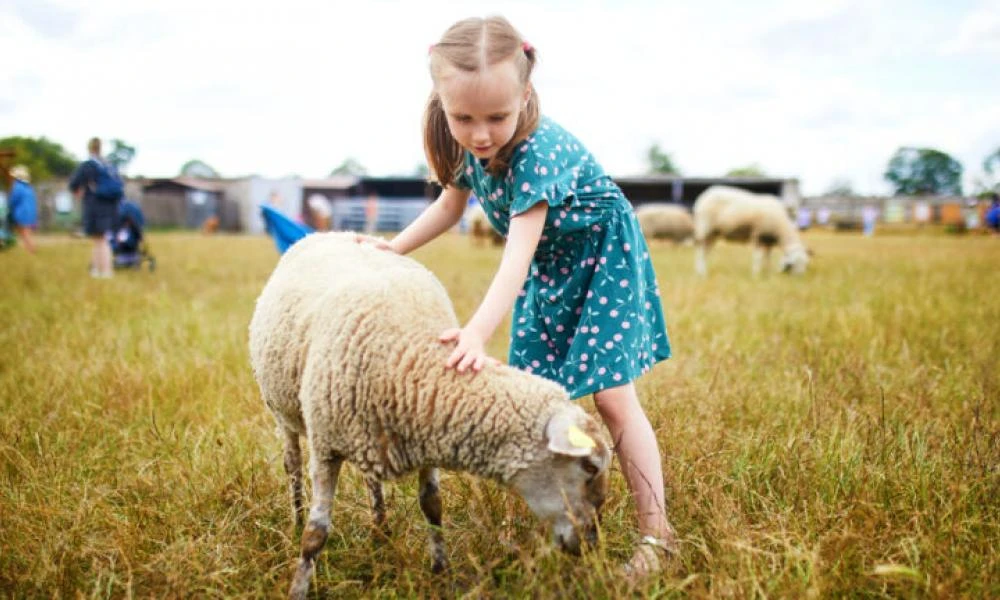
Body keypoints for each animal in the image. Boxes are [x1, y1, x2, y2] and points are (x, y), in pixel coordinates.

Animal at [246, 232, 612, 596]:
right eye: (589, 466)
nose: (590, 543)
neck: (413, 360)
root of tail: (330, 232)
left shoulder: (426, 438)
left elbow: (433, 507)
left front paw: (441, 573)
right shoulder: (325, 449)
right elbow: (316, 535)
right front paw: (298, 587)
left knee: (370, 479)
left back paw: (381, 531)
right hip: (282, 412)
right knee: (292, 465)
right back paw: (295, 518)